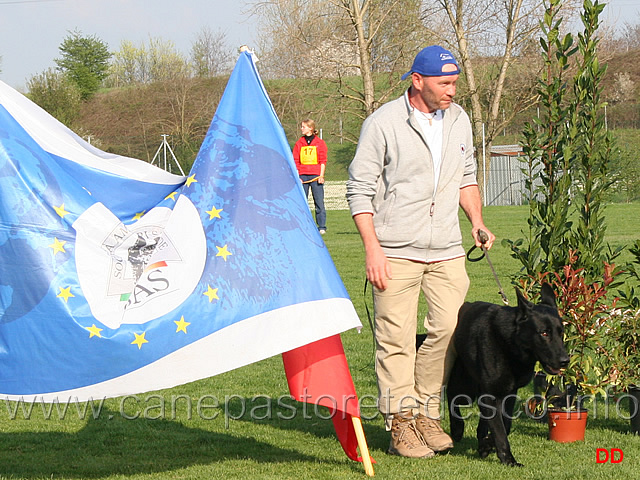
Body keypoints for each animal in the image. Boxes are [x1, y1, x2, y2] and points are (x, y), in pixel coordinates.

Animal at [442, 284, 568, 466]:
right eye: (544, 333)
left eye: (561, 332)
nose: (565, 361)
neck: (510, 344)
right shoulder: (491, 395)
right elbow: (499, 430)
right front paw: (508, 459)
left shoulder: (509, 393)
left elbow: (505, 425)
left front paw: (487, 444)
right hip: (465, 386)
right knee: (452, 395)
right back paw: (457, 428)